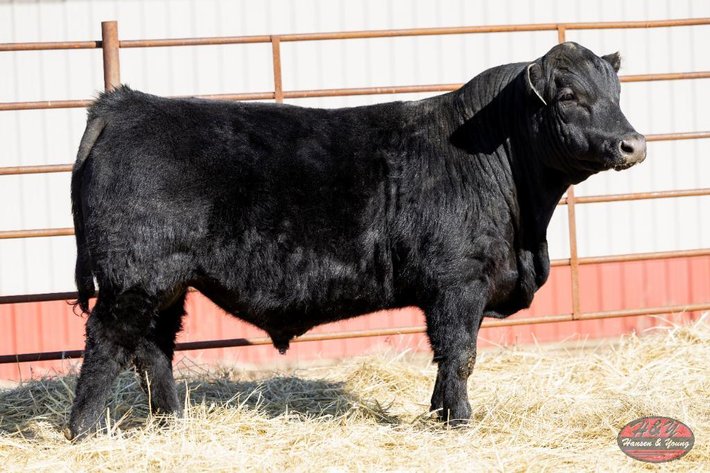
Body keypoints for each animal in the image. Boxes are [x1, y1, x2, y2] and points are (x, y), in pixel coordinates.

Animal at [65, 42, 646, 440]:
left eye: (617, 94)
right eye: (568, 96)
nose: (632, 143)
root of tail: (124, 104)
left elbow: (449, 357)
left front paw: (440, 414)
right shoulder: (459, 281)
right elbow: (460, 353)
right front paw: (459, 420)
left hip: (166, 282)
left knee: (153, 347)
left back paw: (172, 421)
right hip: (133, 278)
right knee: (107, 340)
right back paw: (84, 430)